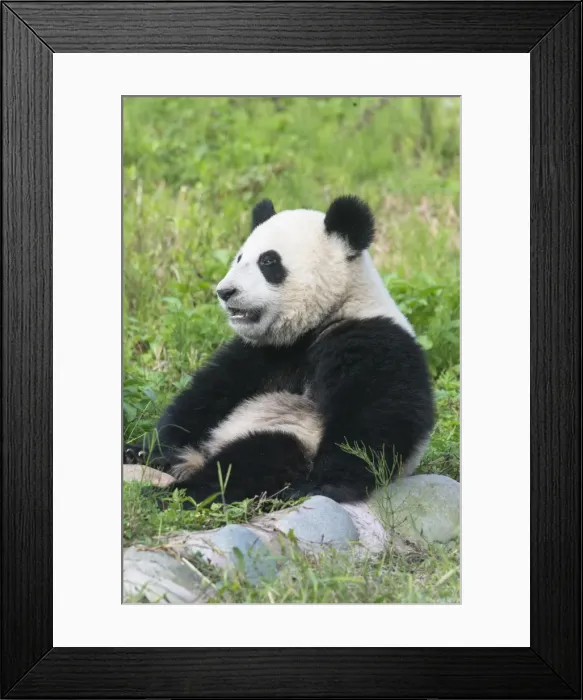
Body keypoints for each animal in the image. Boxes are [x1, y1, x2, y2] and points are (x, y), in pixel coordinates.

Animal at [124, 195, 434, 505]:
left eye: (268, 261)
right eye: (239, 258)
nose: (225, 291)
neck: (319, 321)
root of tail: (197, 458)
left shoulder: (371, 338)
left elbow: (374, 416)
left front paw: (322, 485)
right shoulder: (264, 350)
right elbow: (205, 396)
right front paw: (151, 447)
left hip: (290, 433)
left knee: (254, 460)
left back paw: (175, 493)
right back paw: (141, 456)